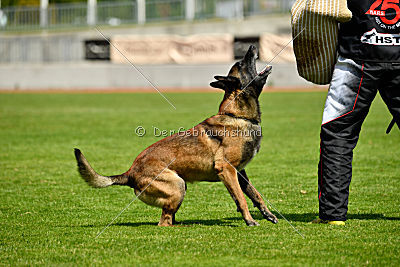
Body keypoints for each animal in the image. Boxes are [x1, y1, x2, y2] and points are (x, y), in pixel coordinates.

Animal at [74, 45, 278, 227]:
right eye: (242, 63)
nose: (251, 46)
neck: (236, 116)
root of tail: (129, 173)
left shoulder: (239, 172)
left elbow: (255, 194)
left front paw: (267, 213)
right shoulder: (226, 169)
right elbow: (241, 198)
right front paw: (249, 220)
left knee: (169, 219)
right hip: (177, 186)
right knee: (164, 222)